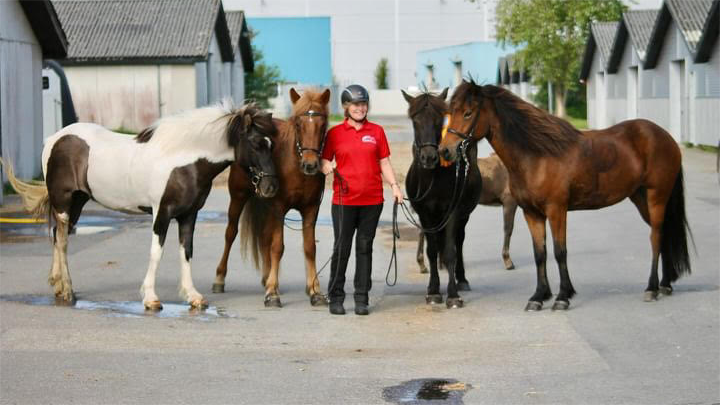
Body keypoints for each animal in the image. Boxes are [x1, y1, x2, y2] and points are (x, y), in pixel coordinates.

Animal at [1, 101, 278, 310]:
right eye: (257, 144)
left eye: (271, 144)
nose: (270, 188)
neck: (183, 159)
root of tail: (54, 139)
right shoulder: (162, 213)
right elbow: (157, 252)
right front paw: (151, 298)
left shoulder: (188, 215)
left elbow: (186, 252)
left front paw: (193, 297)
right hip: (64, 202)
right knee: (62, 241)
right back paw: (67, 291)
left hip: (78, 201)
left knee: (58, 237)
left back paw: (59, 287)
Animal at [400, 87, 484, 306]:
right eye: (415, 121)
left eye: (439, 121)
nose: (429, 157)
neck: (433, 178)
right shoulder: (425, 214)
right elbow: (431, 250)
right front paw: (433, 291)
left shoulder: (452, 213)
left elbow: (450, 250)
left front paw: (453, 294)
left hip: (464, 215)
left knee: (459, 241)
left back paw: (461, 279)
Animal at [438, 80, 692, 310]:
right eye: (450, 112)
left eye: (468, 113)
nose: (445, 151)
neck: (537, 156)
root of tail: (666, 137)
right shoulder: (531, 213)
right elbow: (539, 253)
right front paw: (539, 296)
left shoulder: (556, 210)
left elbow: (560, 252)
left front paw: (562, 297)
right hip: (640, 198)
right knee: (664, 233)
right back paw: (665, 285)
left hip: (656, 196)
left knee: (656, 237)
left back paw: (651, 288)